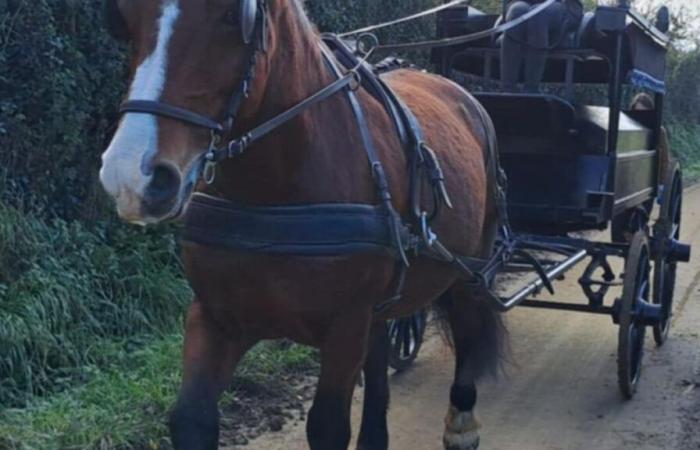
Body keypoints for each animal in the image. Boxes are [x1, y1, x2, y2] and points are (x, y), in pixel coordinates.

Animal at [98, 1, 504, 448]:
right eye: (124, 18)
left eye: (232, 17)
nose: (132, 177)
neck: (271, 193)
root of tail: (460, 93)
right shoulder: (215, 317)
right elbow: (191, 417)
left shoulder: (346, 327)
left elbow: (327, 425)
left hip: (469, 270)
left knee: (467, 327)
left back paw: (462, 421)